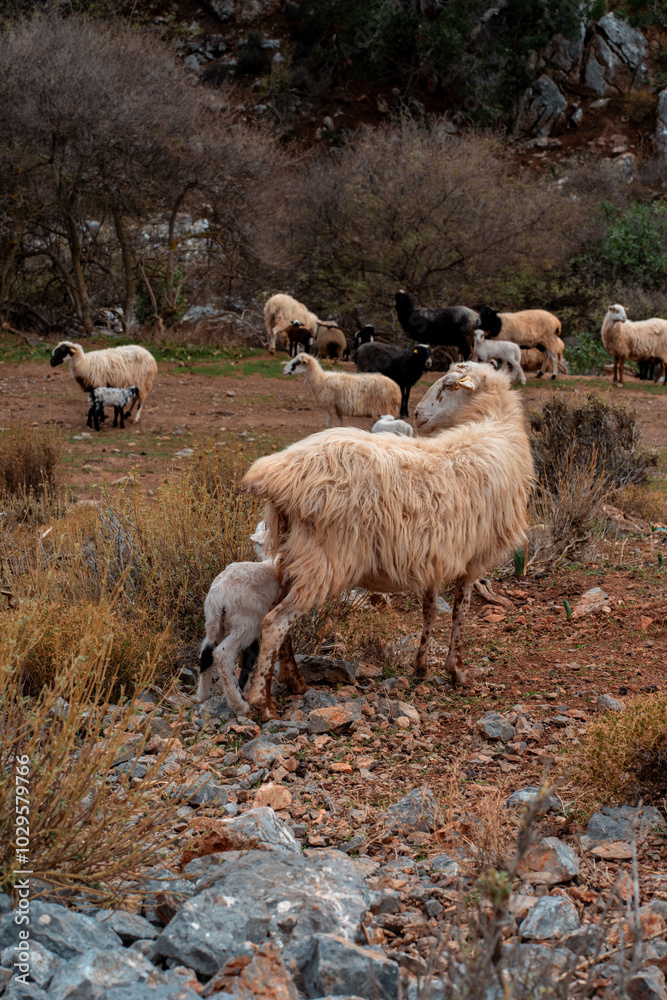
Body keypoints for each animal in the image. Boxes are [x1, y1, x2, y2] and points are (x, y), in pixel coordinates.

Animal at [196, 523, 307, 715]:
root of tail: (217, 596)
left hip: (215, 623)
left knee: (207, 651)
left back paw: (203, 696)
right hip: (246, 623)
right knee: (223, 653)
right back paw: (239, 704)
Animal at [242, 360, 534, 720]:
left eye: (449, 385)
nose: (417, 415)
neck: (492, 426)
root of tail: (277, 473)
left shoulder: (436, 556)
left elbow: (430, 611)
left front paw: (422, 667)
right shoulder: (473, 557)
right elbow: (460, 612)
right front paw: (458, 670)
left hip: (293, 556)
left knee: (277, 617)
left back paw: (295, 681)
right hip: (324, 560)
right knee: (275, 622)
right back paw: (263, 701)